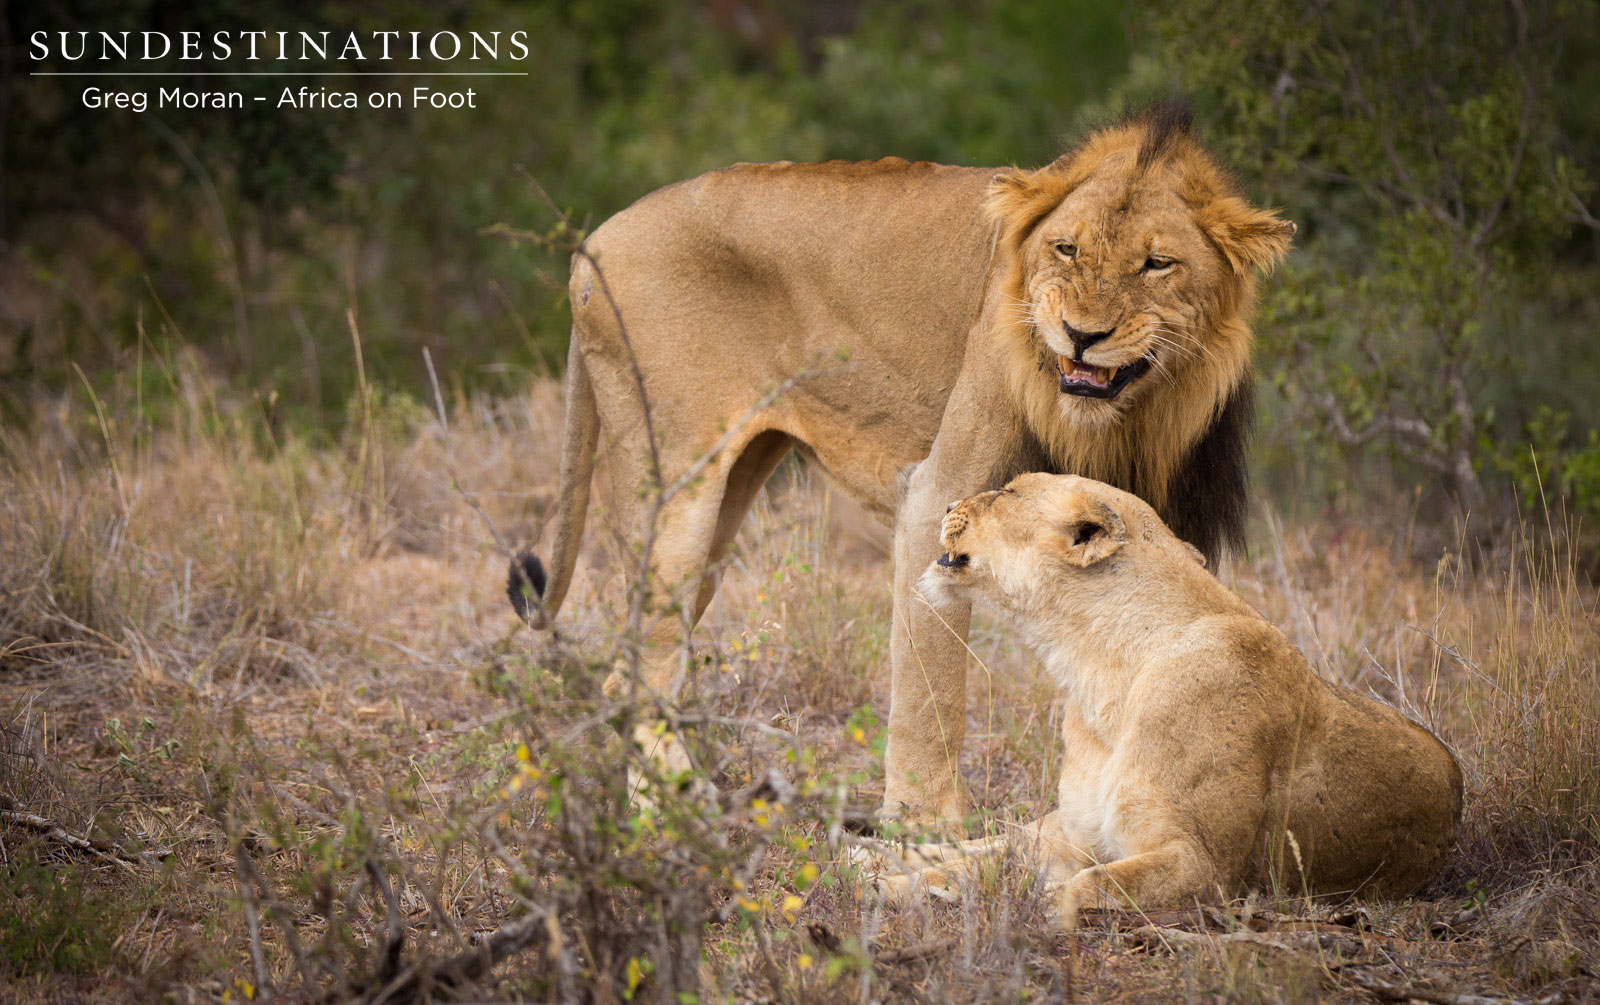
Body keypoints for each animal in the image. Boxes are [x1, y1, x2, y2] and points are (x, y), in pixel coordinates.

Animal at [509, 101, 1296, 819]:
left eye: (1157, 264)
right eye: (1067, 250)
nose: (1080, 334)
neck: (1126, 418)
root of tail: (592, 240)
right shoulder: (938, 490)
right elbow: (930, 678)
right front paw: (926, 826)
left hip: (727, 497)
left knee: (636, 668)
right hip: (675, 485)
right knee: (641, 672)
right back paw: (676, 817)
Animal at [863, 472, 1462, 921]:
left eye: (1009, 492)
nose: (946, 505)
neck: (1098, 667)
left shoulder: (1203, 866)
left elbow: (1083, 886)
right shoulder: (1076, 835)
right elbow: (983, 864)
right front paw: (895, 885)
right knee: (980, 840)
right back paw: (862, 856)